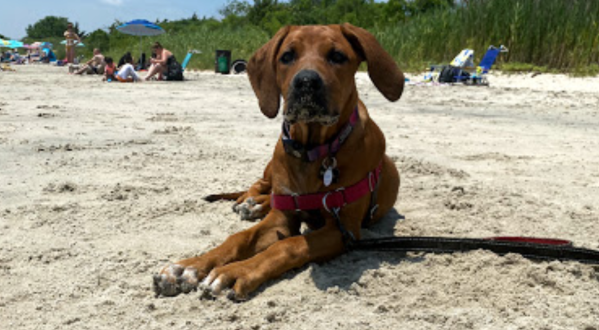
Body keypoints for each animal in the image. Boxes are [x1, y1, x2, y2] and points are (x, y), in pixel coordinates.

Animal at [154, 23, 408, 300]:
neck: (312, 150)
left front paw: (236, 271)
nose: (306, 82)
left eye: (337, 56)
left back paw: (255, 205)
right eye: (287, 56)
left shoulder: (344, 230)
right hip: (271, 168)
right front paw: (188, 267)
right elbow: (239, 238)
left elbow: (289, 244)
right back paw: (250, 202)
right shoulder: (283, 218)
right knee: (259, 186)